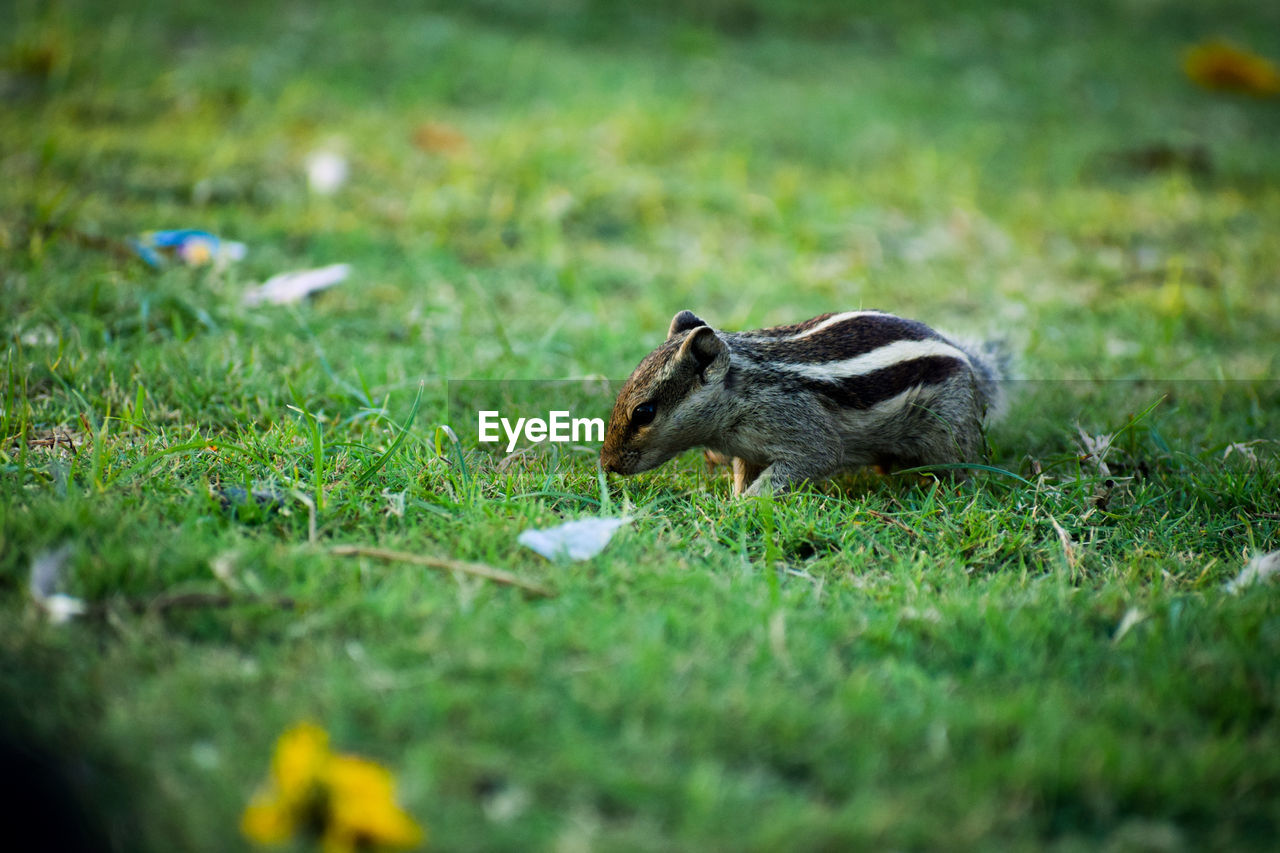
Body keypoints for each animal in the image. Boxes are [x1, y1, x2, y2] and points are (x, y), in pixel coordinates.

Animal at [601, 307, 1008, 494]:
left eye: (644, 412)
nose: (607, 465)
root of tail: (966, 358)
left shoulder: (804, 434)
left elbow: (810, 461)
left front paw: (744, 507)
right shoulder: (748, 452)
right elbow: (743, 475)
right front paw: (734, 499)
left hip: (949, 431)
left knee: (965, 466)